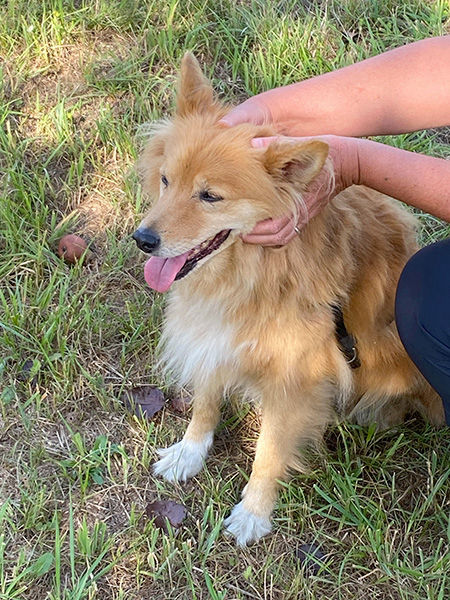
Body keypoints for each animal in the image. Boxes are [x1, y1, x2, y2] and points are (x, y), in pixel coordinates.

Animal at [133, 54, 442, 548]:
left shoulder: (295, 377)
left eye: (210, 196)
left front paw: (254, 513)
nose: (143, 240)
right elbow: (205, 403)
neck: (249, 274)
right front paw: (189, 452)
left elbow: (270, 450)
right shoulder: (214, 334)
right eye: (165, 181)